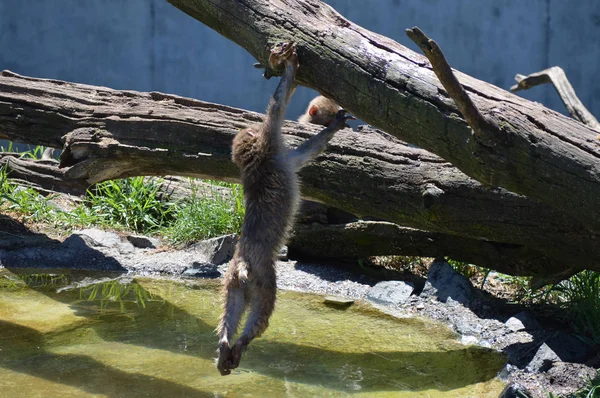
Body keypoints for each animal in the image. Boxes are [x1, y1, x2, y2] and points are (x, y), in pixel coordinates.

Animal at [216, 42, 354, 374]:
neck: (257, 163)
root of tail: (243, 262)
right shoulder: (276, 150)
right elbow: (279, 110)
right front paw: (289, 68)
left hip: (232, 280)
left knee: (232, 307)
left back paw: (225, 346)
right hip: (263, 277)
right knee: (263, 311)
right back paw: (240, 344)